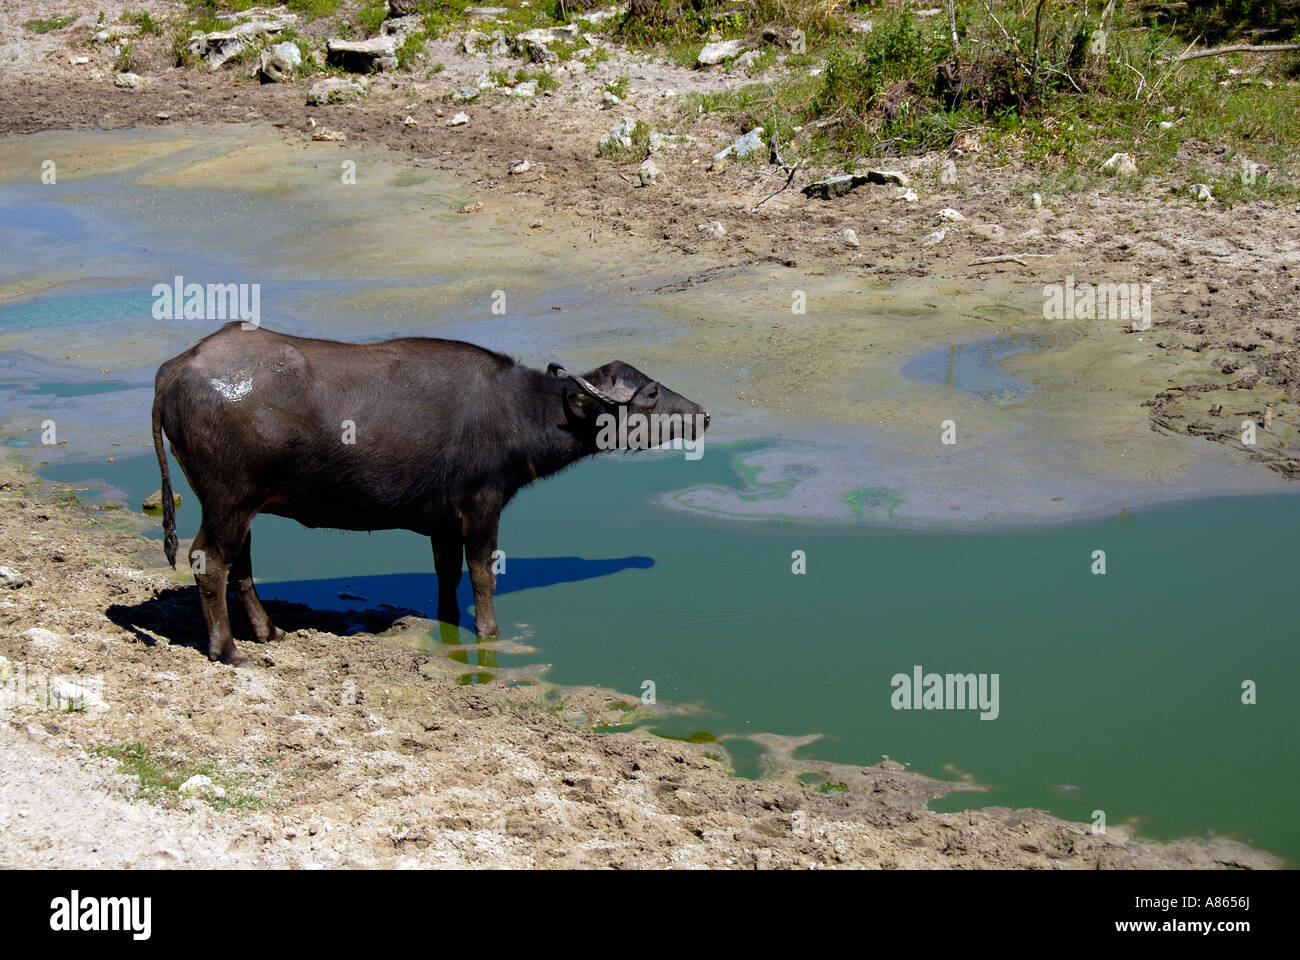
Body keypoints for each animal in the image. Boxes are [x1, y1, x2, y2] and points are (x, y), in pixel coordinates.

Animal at [152, 320, 712, 658]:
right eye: (652, 392)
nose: (703, 415)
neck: (517, 410)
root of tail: (178, 367)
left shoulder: (443, 521)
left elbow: (447, 575)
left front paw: (449, 623)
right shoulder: (483, 507)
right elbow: (483, 576)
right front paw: (490, 634)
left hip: (241, 505)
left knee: (240, 565)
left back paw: (268, 631)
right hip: (228, 501)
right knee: (209, 561)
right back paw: (228, 650)